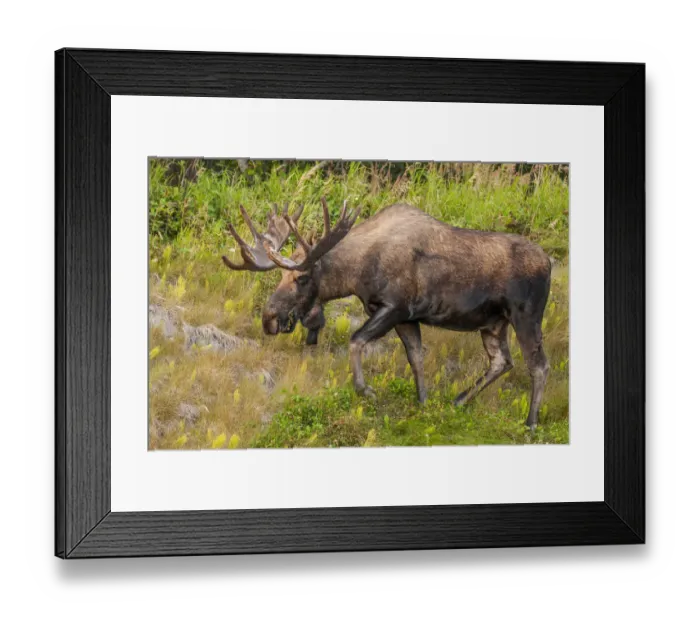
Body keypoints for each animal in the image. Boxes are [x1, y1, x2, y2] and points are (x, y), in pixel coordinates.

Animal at [222, 198, 552, 430]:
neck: (357, 272)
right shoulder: (406, 318)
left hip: (526, 316)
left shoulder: (395, 307)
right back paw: (458, 401)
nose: (268, 318)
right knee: (501, 361)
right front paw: (423, 404)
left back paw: (531, 423)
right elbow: (416, 359)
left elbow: (356, 340)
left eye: (301, 278)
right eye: (280, 276)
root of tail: (549, 261)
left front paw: (365, 389)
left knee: (538, 365)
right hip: (493, 323)